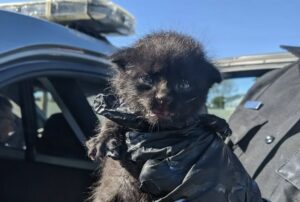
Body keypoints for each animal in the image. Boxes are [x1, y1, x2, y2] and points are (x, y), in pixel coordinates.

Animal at [85, 31, 221, 202]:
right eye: (147, 79)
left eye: (184, 84)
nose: (163, 97)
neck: (154, 129)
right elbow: (112, 122)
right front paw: (103, 139)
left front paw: (216, 122)